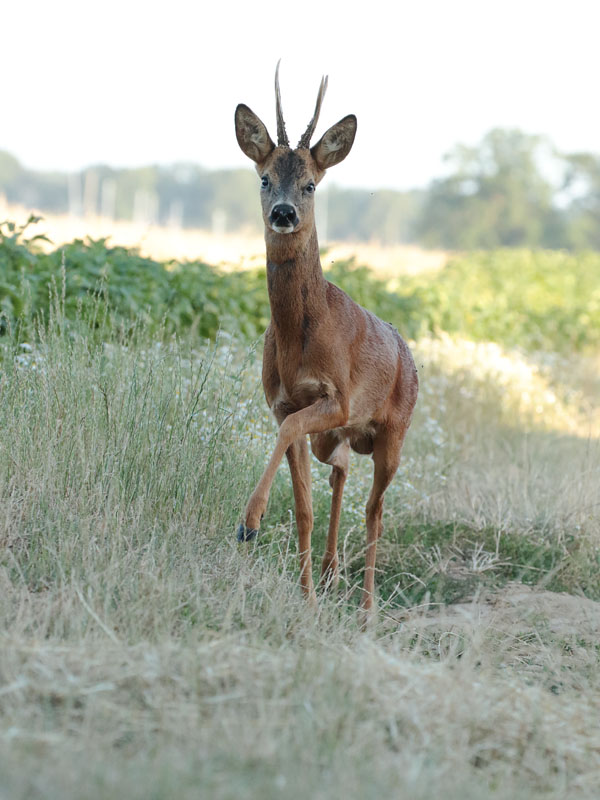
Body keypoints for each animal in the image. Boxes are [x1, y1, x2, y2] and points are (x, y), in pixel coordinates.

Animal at [234, 65, 418, 620]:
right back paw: (333, 573)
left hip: (393, 431)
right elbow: (303, 507)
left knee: (376, 509)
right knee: (340, 472)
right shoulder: (282, 403)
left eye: (311, 184)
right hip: (338, 438)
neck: (299, 342)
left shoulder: (337, 398)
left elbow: (292, 432)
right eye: (264, 178)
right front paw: (306, 595)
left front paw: (249, 522)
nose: (284, 213)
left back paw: (367, 606)